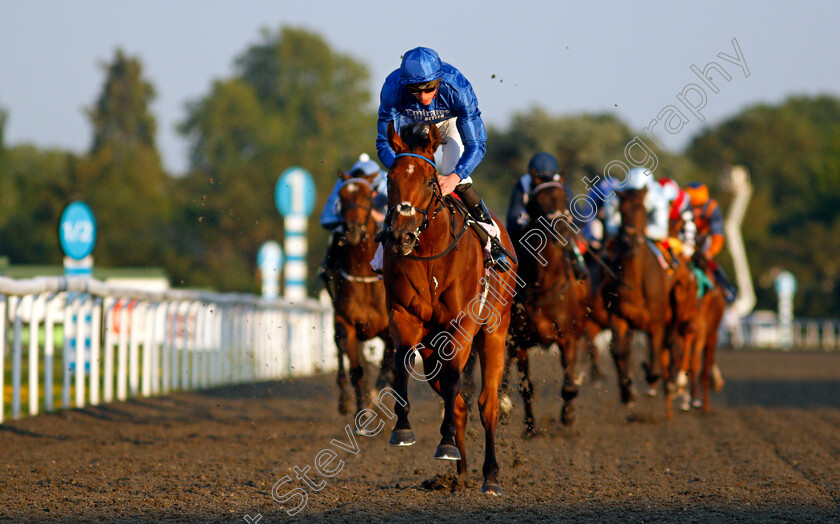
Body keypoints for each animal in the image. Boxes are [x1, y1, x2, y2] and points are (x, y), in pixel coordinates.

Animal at [330, 173, 396, 422]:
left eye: (367, 197)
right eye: (341, 197)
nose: (351, 231)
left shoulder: (390, 330)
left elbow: (385, 370)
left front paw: (376, 402)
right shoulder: (346, 323)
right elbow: (357, 372)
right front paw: (362, 413)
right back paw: (345, 401)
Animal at [382, 122, 520, 496]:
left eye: (429, 182)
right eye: (390, 179)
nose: (401, 236)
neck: (430, 253)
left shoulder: (461, 325)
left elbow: (457, 381)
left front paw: (445, 443)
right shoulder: (404, 317)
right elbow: (402, 364)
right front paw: (403, 429)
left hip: (494, 332)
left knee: (485, 404)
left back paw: (490, 476)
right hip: (432, 349)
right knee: (456, 403)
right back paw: (459, 473)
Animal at [506, 175, 592, 434]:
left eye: (563, 198)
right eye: (540, 201)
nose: (562, 227)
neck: (541, 285)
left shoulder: (568, 338)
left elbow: (568, 385)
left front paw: (568, 415)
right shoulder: (519, 341)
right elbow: (526, 386)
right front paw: (530, 427)